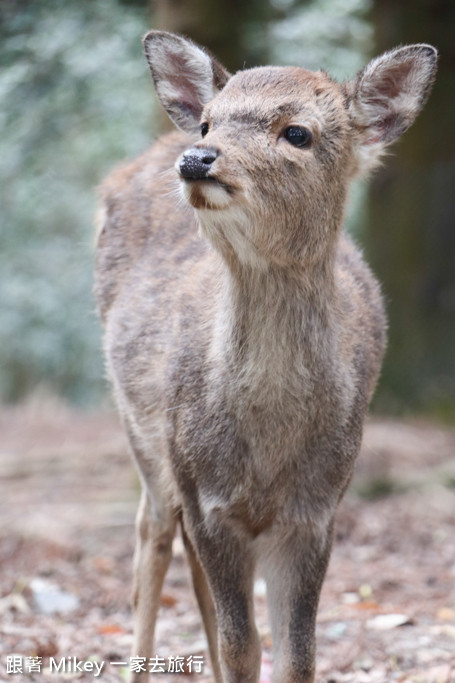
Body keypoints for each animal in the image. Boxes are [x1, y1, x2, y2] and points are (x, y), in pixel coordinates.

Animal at [94, 32, 440, 683]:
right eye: (209, 121)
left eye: (297, 132)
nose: (198, 157)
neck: (269, 443)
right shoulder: (206, 495)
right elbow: (243, 646)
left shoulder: (318, 507)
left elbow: (297, 653)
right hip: (142, 431)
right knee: (152, 535)